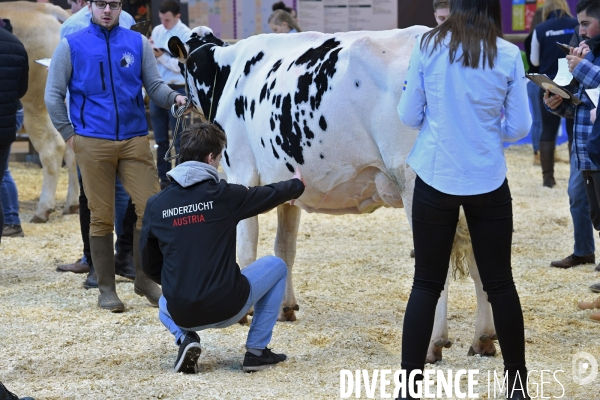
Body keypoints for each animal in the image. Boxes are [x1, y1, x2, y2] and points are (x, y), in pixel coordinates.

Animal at [168, 25, 496, 362]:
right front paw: (285, 308)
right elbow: (284, 249)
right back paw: (483, 338)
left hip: (414, 184)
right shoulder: (286, 185)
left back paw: (434, 343)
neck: (226, 70)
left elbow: (246, 251)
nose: (178, 101)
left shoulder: (242, 173)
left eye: (181, 67)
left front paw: (245, 311)